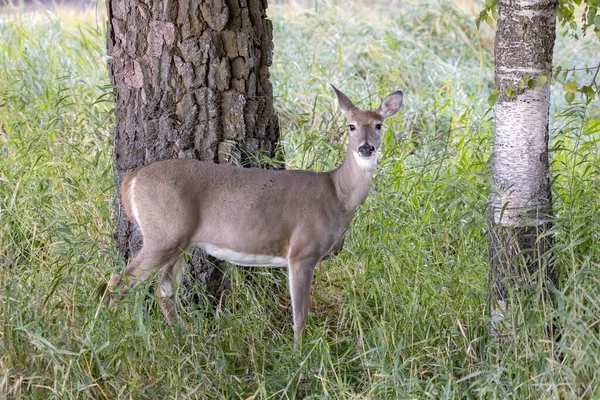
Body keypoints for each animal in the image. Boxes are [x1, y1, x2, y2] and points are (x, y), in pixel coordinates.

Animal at [109, 86, 404, 340]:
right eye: (351, 126)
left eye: (379, 125)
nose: (366, 148)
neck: (338, 194)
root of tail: (131, 180)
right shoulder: (302, 252)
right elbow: (300, 316)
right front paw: (299, 356)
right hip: (163, 235)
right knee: (118, 282)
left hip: (180, 242)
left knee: (164, 290)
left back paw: (184, 335)